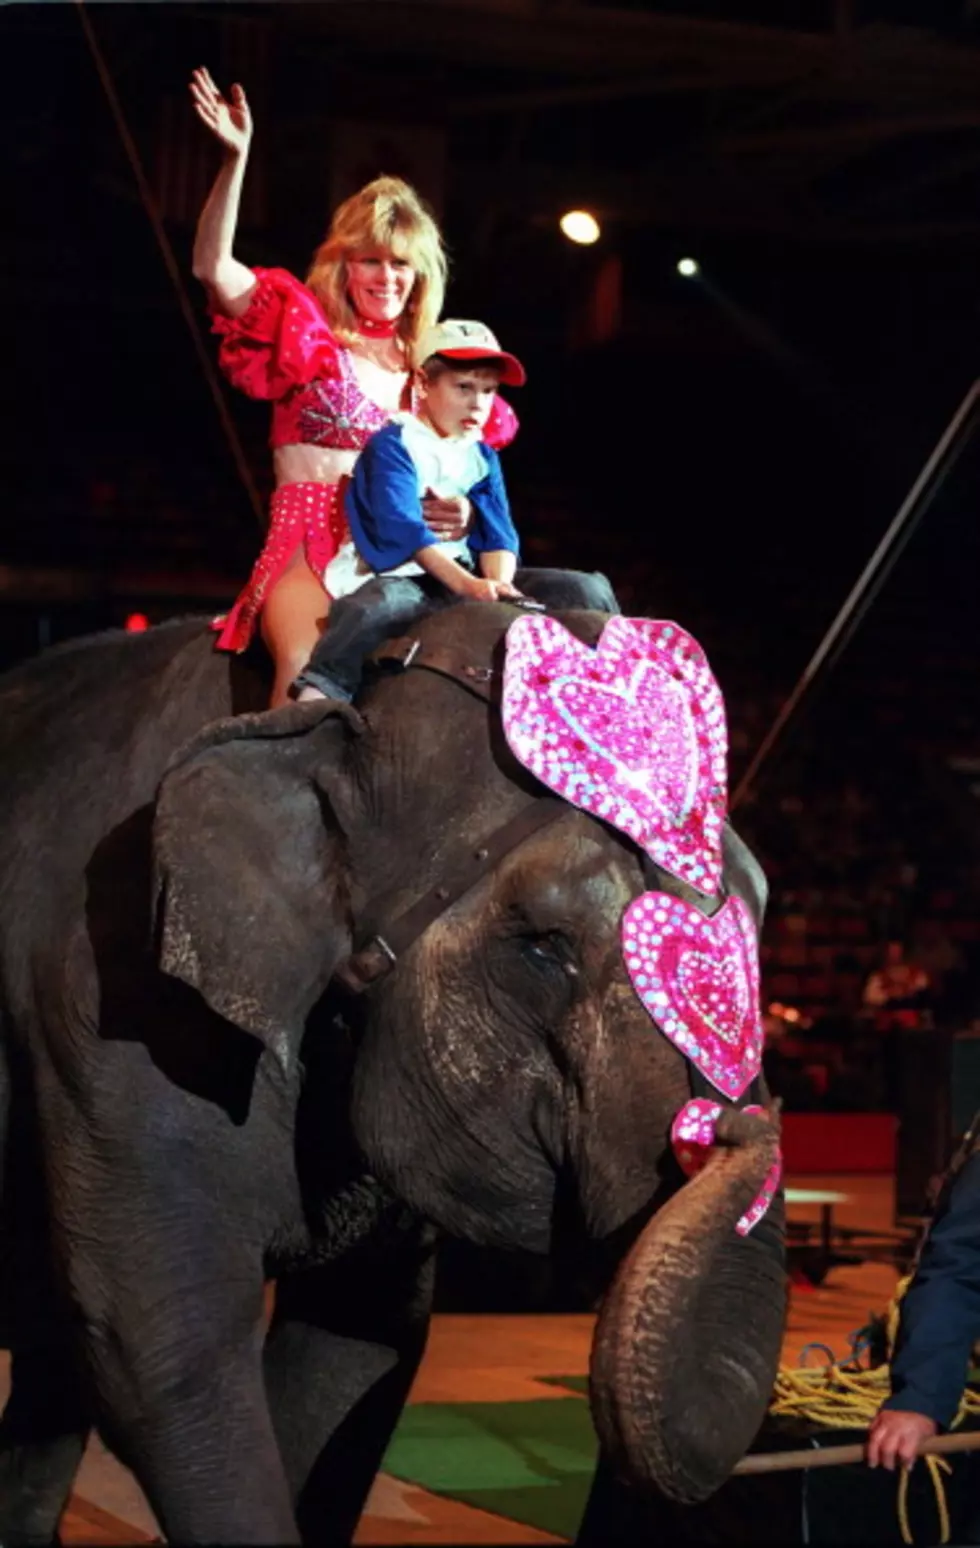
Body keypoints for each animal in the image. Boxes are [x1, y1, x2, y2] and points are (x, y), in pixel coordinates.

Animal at [0, 597, 783, 1541]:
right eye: (543, 949)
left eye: (761, 910)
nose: (731, 1124)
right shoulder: (110, 1001)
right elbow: (163, 1344)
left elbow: (360, 1341)